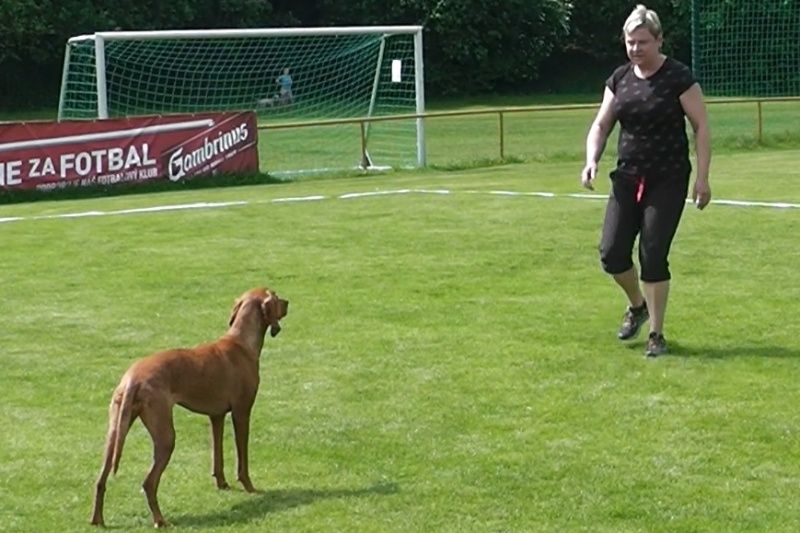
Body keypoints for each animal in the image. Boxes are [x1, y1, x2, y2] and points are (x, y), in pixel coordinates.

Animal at [89, 284, 290, 524]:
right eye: (276, 297)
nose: (288, 302)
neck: (241, 342)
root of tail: (132, 379)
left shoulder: (217, 416)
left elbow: (217, 456)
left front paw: (222, 484)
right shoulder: (241, 413)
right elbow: (243, 461)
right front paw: (250, 488)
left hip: (115, 431)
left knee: (100, 479)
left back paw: (97, 519)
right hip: (166, 437)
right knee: (148, 483)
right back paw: (160, 521)